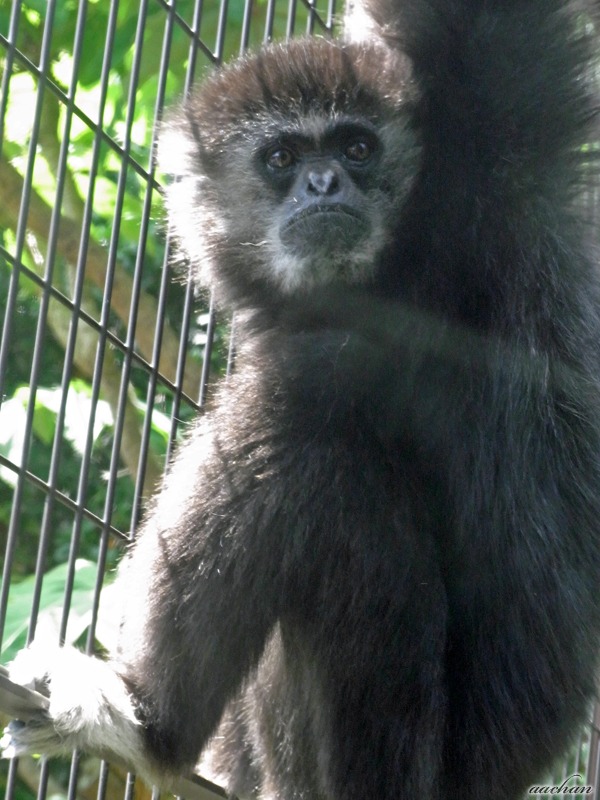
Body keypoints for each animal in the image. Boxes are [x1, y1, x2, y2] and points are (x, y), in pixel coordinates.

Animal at [3, 2, 600, 799]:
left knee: (311, 442)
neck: (390, 282)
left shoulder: (486, 179)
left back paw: (145, 724)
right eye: (283, 158)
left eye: (357, 147)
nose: (322, 183)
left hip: (384, 754)